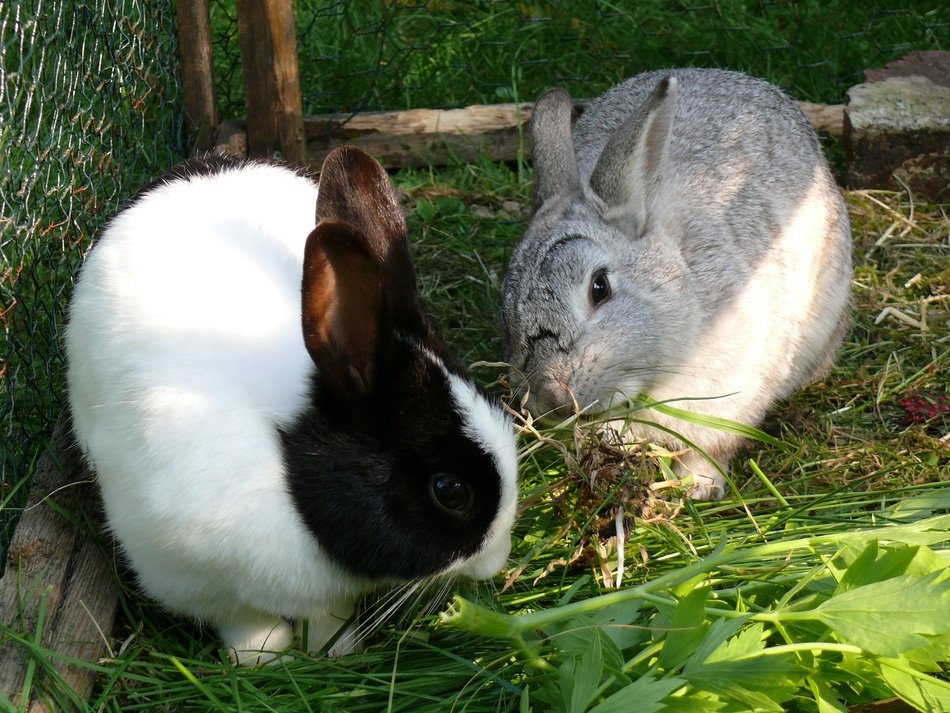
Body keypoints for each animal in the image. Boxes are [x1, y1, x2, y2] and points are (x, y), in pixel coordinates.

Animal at [67, 146, 520, 660]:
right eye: (450, 490)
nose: (497, 560)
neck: (285, 456)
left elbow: (329, 618)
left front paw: (336, 651)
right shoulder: (197, 582)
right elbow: (247, 624)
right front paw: (263, 660)